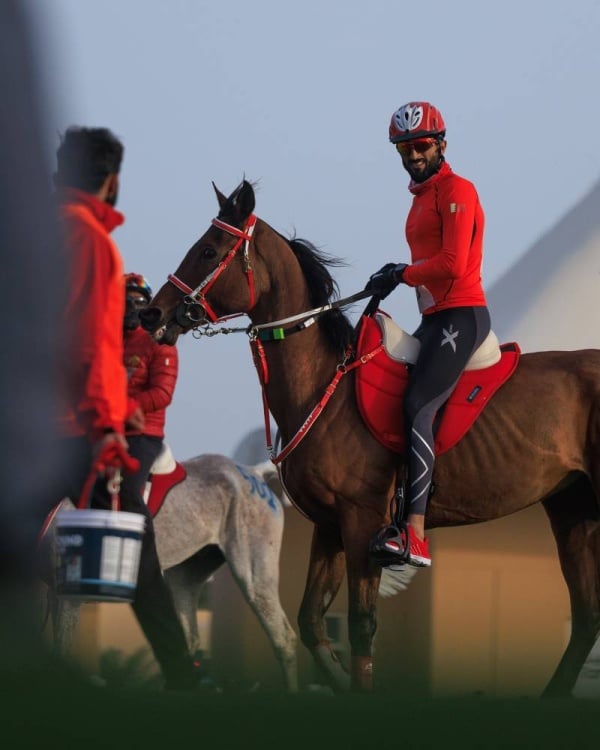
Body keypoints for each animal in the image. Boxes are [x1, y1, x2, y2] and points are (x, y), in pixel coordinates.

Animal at [45, 452, 298, 692]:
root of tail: (253, 472)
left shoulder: (70, 595)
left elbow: (61, 653)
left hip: (253, 570)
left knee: (283, 639)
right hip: (186, 576)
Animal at [141, 182, 600, 700]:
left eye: (208, 250)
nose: (152, 313)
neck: (325, 383)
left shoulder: (363, 522)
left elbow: (361, 626)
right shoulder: (329, 526)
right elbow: (311, 623)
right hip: (572, 508)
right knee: (586, 619)